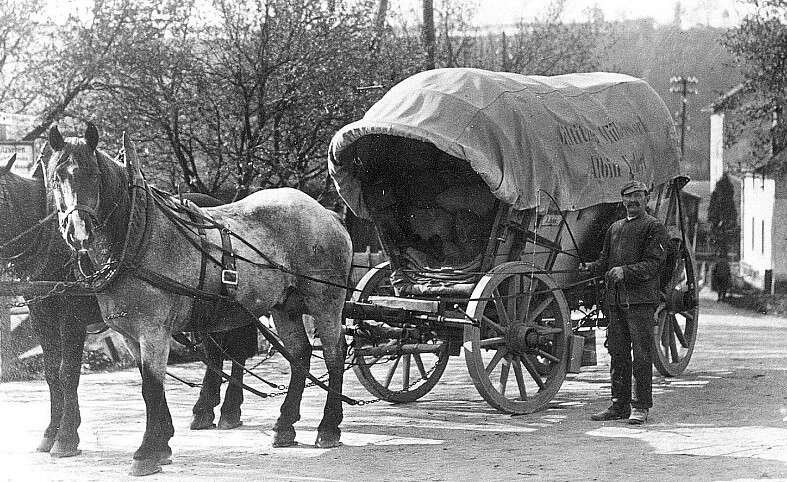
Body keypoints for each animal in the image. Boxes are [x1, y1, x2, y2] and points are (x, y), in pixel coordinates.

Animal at [0, 154, 258, 460]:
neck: (51, 241)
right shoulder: (42, 317)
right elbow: (51, 373)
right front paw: (52, 431)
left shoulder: (72, 319)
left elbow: (67, 373)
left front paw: (66, 437)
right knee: (215, 353)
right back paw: (205, 410)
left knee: (236, 350)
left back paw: (229, 409)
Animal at [43, 124, 350, 474]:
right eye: (55, 178)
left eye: (93, 175)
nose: (78, 231)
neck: (137, 231)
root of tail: (326, 213)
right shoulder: (130, 335)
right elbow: (150, 385)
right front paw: (162, 443)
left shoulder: (154, 331)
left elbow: (151, 386)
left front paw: (147, 451)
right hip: (285, 306)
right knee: (300, 353)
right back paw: (284, 426)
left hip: (326, 303)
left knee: (334, 355)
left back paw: (328, 427)